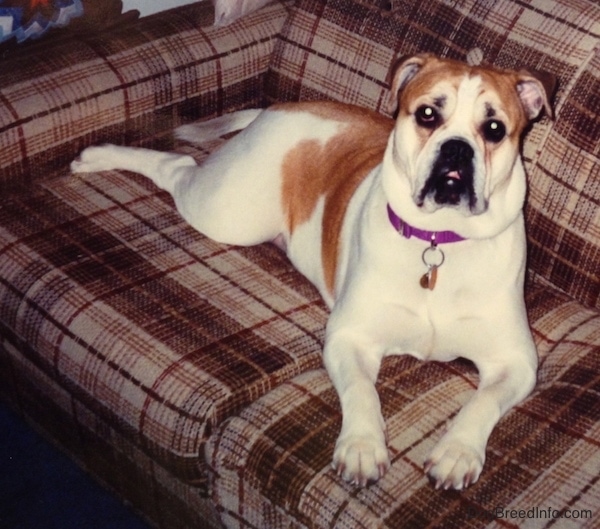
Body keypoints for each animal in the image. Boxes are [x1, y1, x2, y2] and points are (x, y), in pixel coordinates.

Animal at [70, 54, 552, 490]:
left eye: (494, 129)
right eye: (428, 115)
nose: (456, 148)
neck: (440, 242)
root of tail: (278, 108)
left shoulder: (516, 363)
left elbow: (482, 402)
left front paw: (456, 453)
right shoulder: (349, 338)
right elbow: (361, 392)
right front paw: (362, 446)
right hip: (226, 212)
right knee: (177, 167)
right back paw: (97, 156)